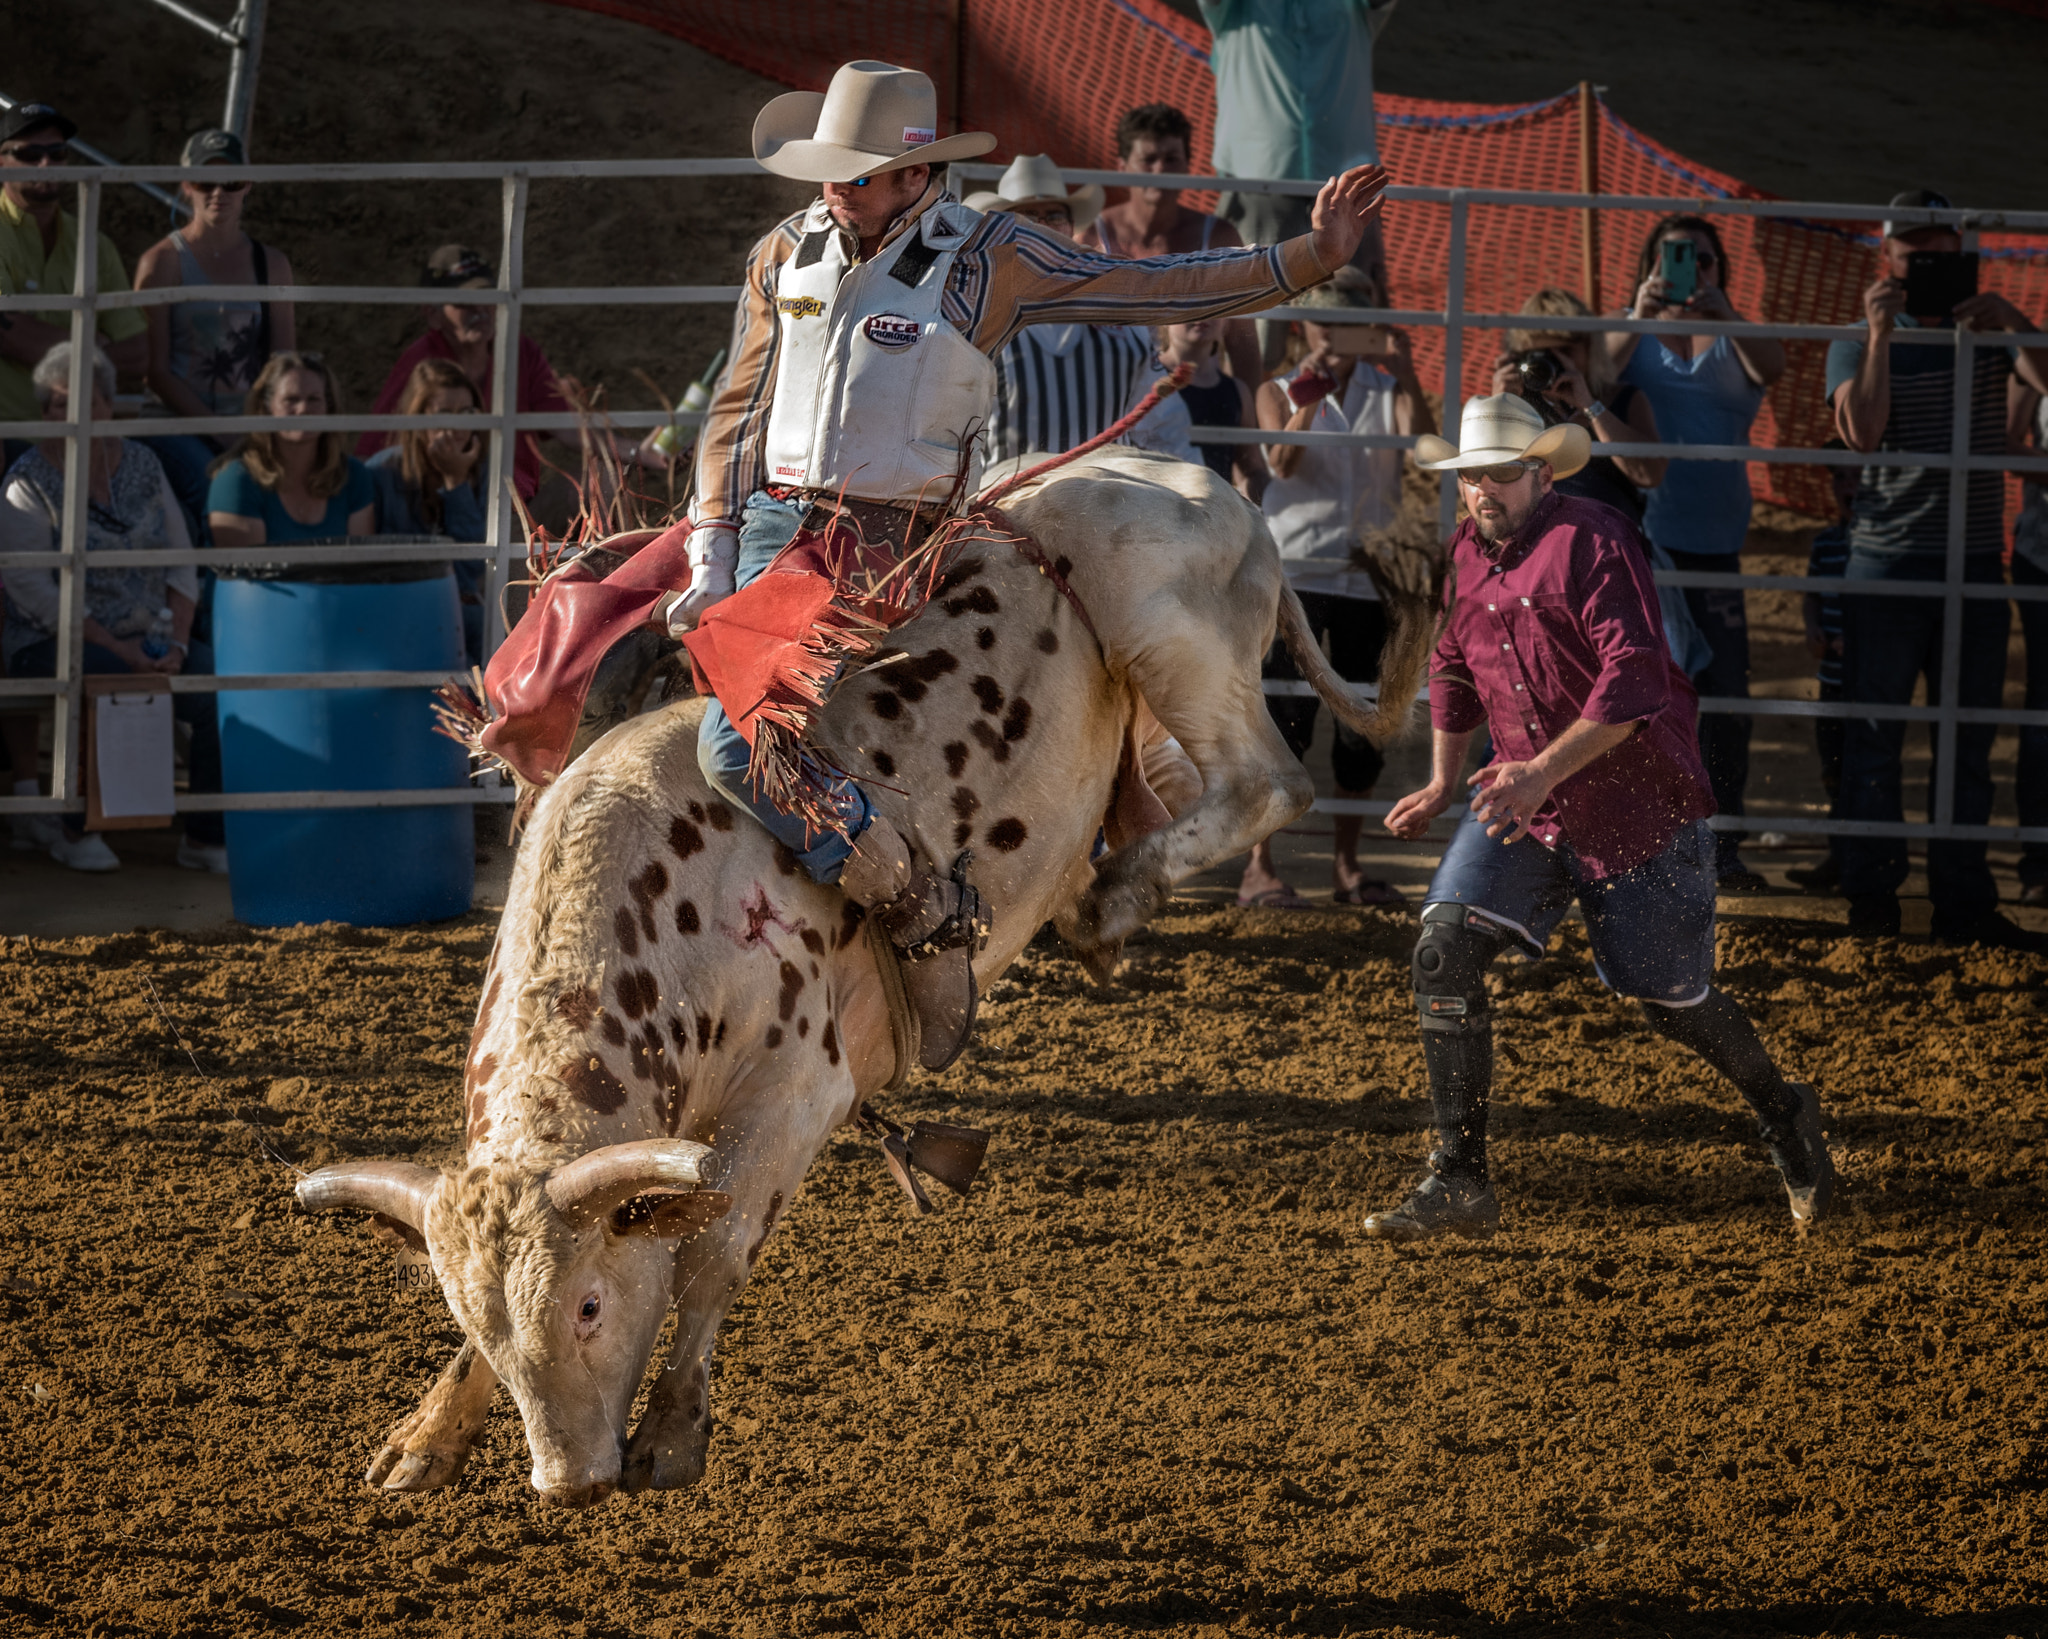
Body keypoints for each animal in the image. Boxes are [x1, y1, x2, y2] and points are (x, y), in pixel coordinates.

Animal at [296, 448, 1433, 1507]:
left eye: (588, 1305)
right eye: (477, 1318)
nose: (568, 1479)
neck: (668, 902)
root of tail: (1197, 481)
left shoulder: (798, 1094)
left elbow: (715, 1251)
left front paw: (670, 1433)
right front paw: (424, 1438)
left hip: (1172, 639)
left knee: (1266, 782)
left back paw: (1112, 898)